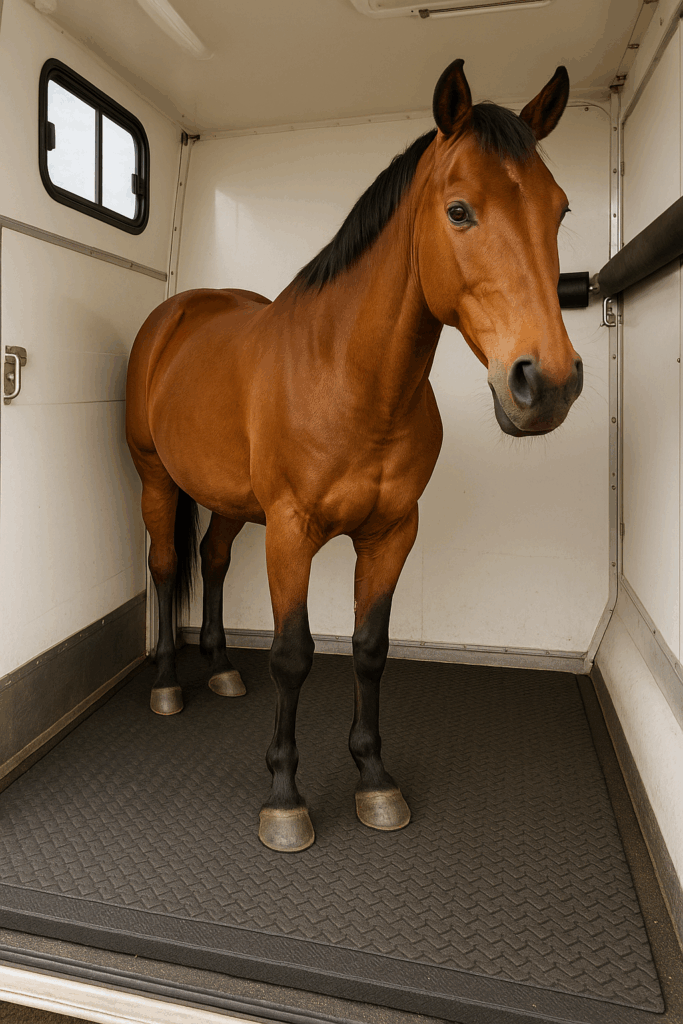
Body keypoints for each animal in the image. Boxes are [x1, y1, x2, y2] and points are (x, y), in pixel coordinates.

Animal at [126, 59, 582, 853]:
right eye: (459, 211)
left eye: (557, 212)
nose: (546, 383)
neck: (349, 377)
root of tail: (178, 312)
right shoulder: (290, 532)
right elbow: (293, 653)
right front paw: (284, 797)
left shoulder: (392, 531)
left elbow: (370, 647)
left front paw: (374, 779)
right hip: (156, 478)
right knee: (165, 564)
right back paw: (167, 684)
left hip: (227, 498)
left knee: (211, 560)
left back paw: (220, 667)